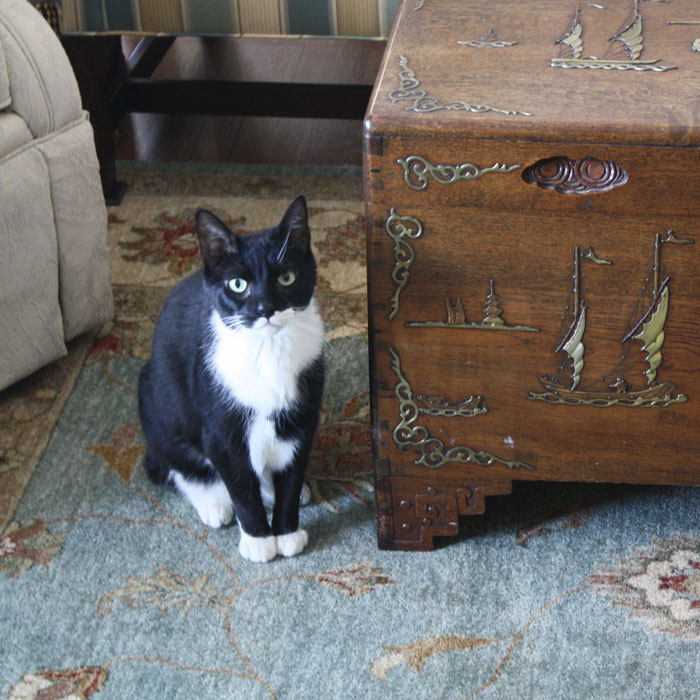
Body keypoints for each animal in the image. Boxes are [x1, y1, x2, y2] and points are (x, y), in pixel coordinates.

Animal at [139, 197, 326, 564]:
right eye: (237, 284)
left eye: (287, 277)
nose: (265, 308)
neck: (268, 351)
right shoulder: (221, 429)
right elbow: (240, 484)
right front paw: (258, 539)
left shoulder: (303, 416)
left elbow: (292, 470)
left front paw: (287, 530)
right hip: (156, 400)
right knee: (173, 465)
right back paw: (212, 501)